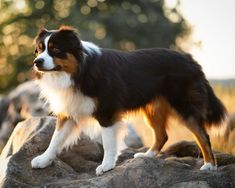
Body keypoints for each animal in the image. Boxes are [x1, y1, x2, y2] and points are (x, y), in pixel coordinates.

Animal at [30, 25, 226, 176]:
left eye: (55, 50)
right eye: (39, 49)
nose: (37, 62)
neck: (79, 71)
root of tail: (189, 58)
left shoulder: (107, 112)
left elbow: (108, 142)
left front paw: (106, 166)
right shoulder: (69, 110)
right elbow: (56, 138)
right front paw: (43, 160)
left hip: (183, 105)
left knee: (203, 135)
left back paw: (209, 165)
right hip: (152, 108)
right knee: (162, 135)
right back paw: (147, 156)